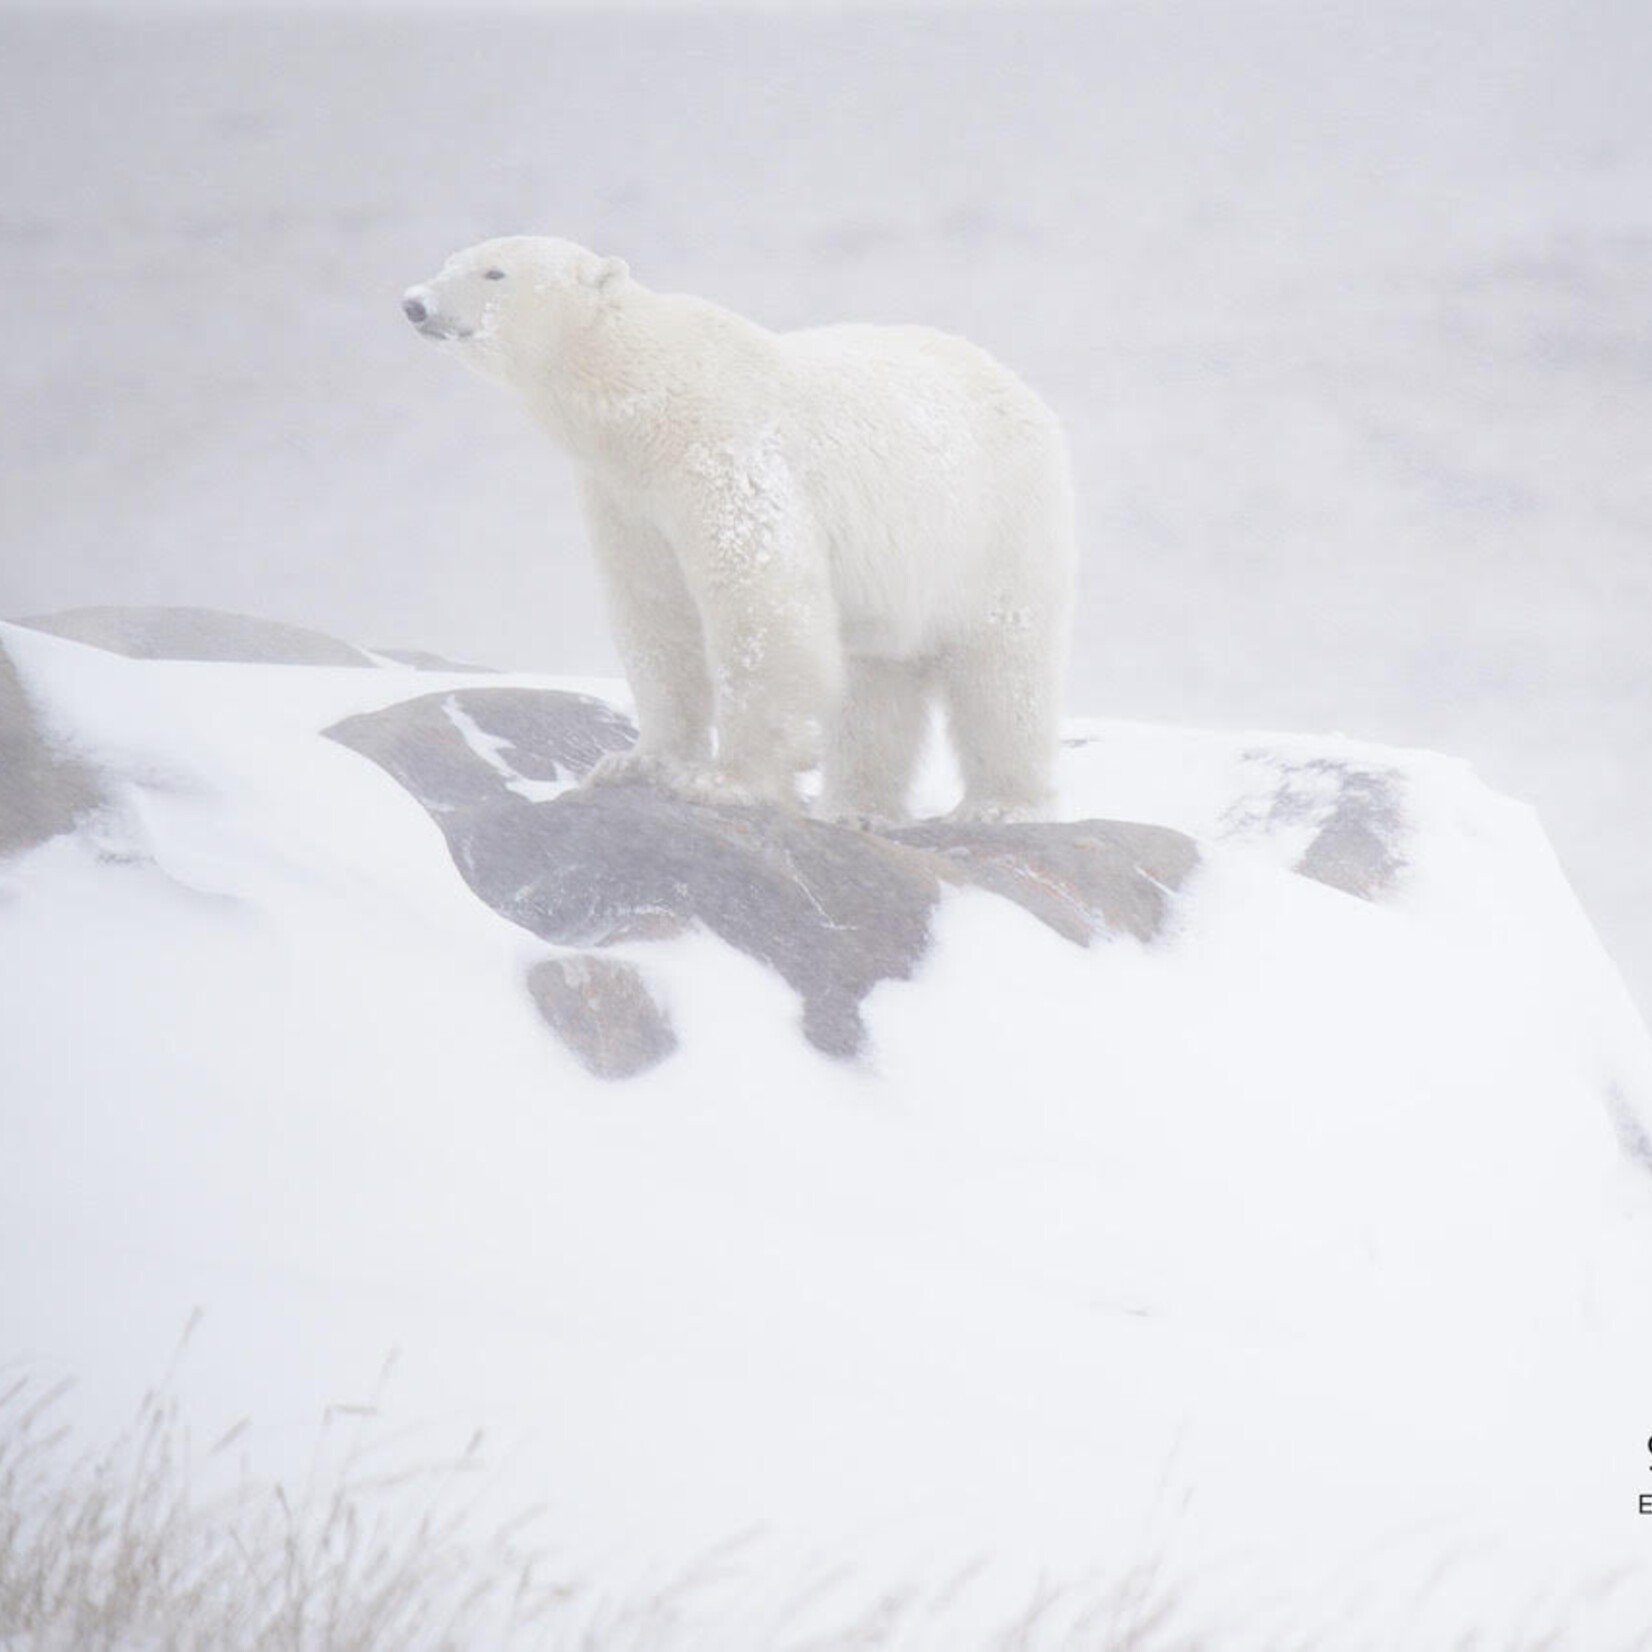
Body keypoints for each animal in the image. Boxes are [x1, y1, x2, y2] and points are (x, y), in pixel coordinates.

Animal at [399, 237, 1070, 819]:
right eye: (450, 261)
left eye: (495, 272)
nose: (414, 303)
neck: (645, 402)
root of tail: (1023, 390)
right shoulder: (625, 500)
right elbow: (655, 616)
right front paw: (633, 763)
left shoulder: (724, 453)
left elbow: (757, 603)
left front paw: (729, 782)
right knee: (876, 680)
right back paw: (857, 809)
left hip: (997, 527)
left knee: (1003, 673)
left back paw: (1001, 805)